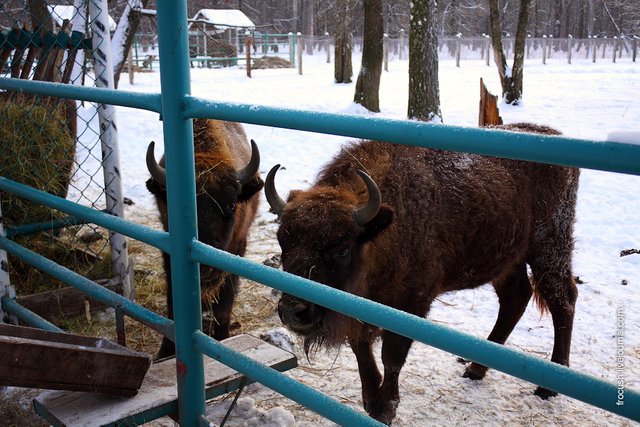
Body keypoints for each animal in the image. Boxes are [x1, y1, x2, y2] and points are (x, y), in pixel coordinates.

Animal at [146, 118, 264, 360]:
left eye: (231, 204)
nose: (206, 272)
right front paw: (165, 352)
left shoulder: (237, 248)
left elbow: (225, 303)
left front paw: (223, 339)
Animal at [264, 123, 580, 424]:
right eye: (283, 241)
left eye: (341, 249)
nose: (293, 311)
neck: (383, 230)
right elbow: (361, 349)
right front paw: (371, 400)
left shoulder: (411, 304)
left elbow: (392, 355)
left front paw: (385, 409)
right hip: (508, 261)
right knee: (515, 299)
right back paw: (476, 369)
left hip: (549, 249)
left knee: (563, 299)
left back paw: (549, 385)